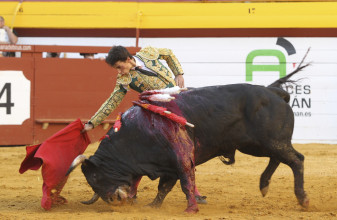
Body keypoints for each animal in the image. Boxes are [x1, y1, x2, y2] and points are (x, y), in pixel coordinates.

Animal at [65, 70, 308, 213]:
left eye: (95, 176)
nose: (113, 201)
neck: (137, 131)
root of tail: (272, 91)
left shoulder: (181, 156)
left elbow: (185, 182)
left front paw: (190, 209)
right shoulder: (167, 165)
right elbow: (164, 187)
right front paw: (153, 207)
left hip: (268, 142)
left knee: (296, 160)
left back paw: (303, 200)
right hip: (256, 145)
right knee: (278, 158)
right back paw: (264, 185)